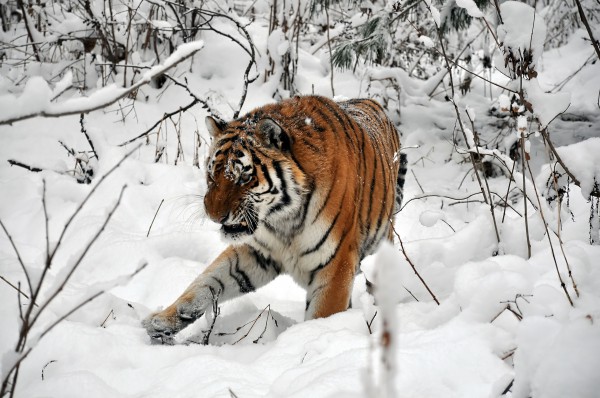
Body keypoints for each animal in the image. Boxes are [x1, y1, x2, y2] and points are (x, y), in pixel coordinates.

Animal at [142, 95, 406, 340]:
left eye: (244, 177)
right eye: (212, 173)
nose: (214, 216)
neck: (283, 220)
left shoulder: (334, 264)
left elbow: (322, 315)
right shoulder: (256, 251)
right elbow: (206, 282)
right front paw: (161, 321)